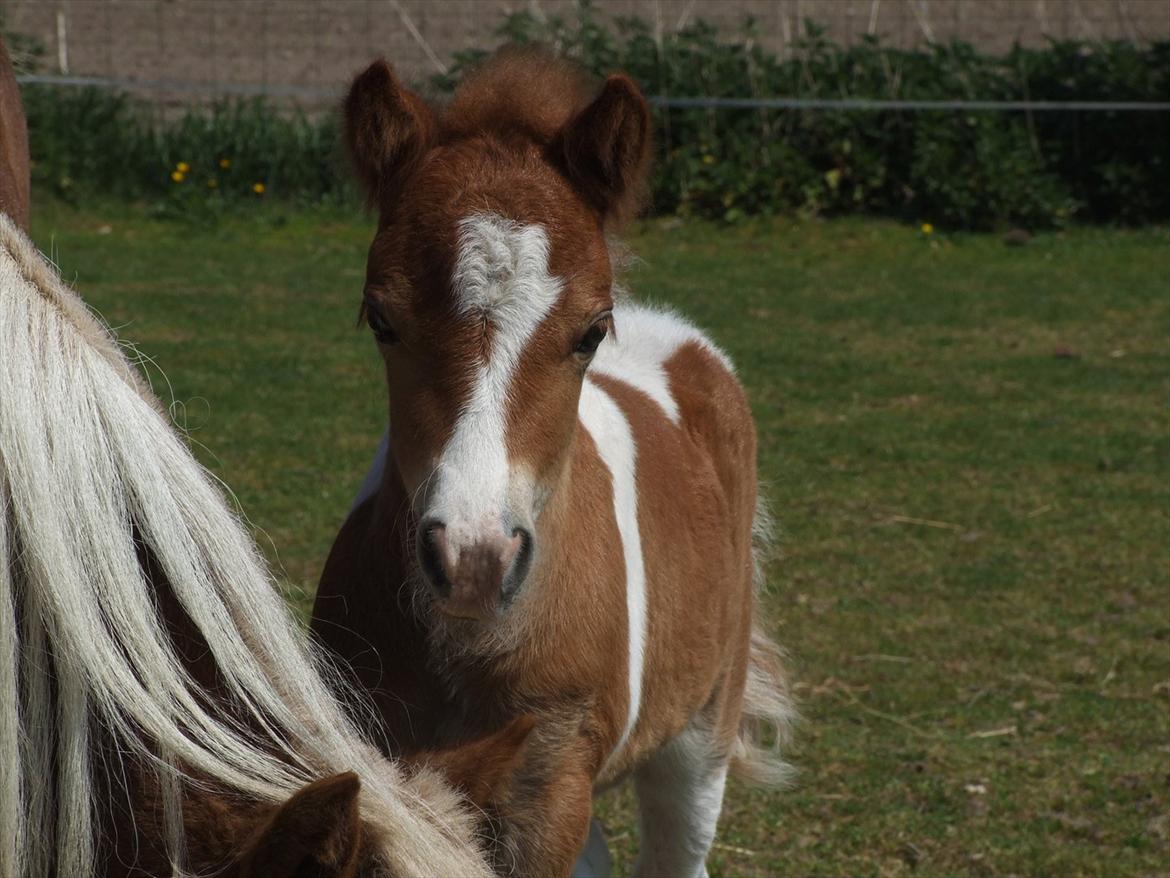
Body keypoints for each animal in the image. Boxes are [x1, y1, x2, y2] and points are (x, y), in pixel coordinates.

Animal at [311, 49, 790, 878]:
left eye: (591, 331)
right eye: (380, 318)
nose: (473, 561)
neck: (469, 651)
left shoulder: (551, 776)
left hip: (698, 734)